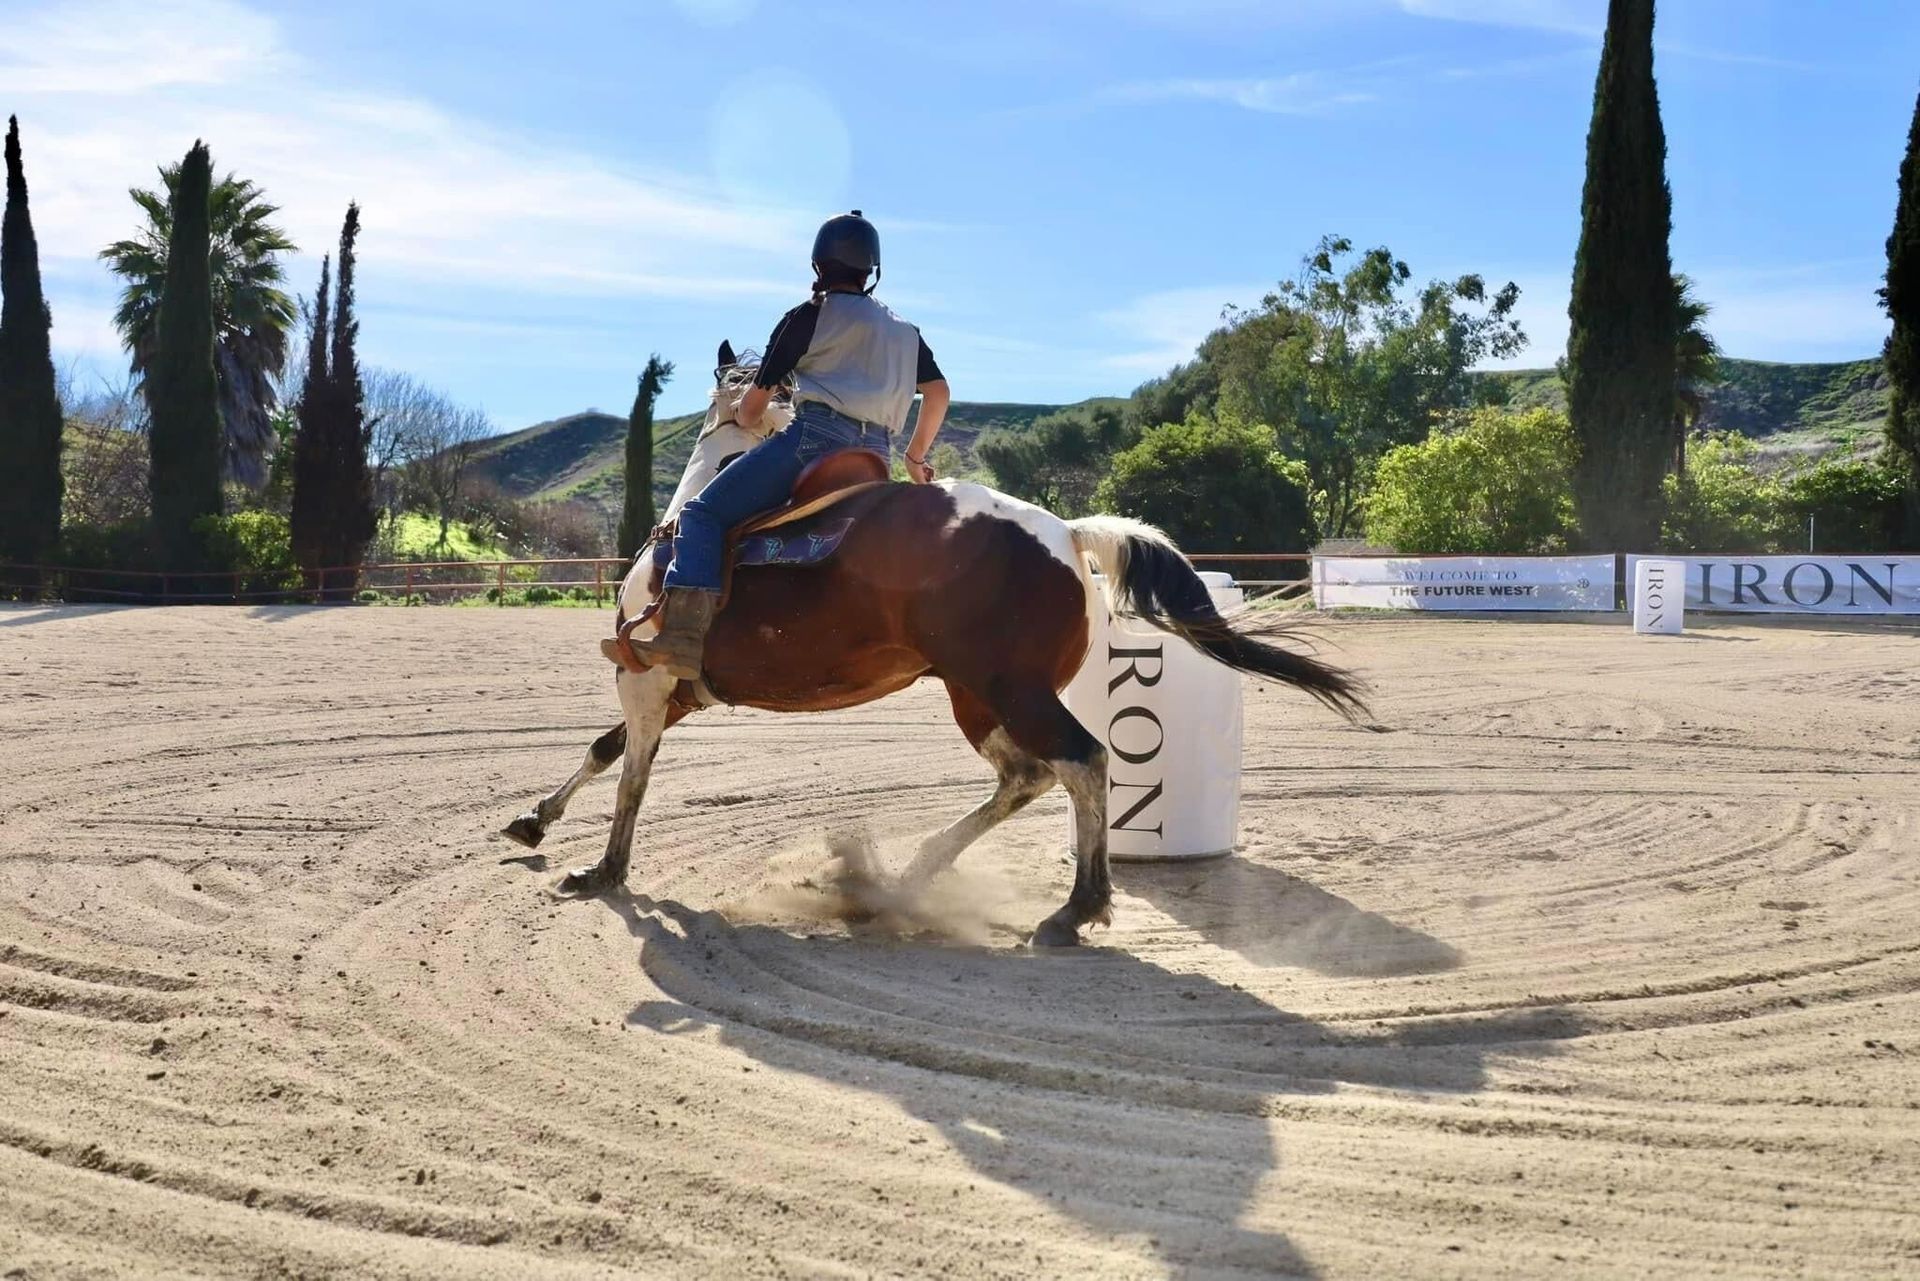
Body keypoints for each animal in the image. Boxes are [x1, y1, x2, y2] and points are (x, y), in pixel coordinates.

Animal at [505, 343, 1367, 946]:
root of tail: (1068, 530)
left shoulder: (648, 684)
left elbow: (631, 778)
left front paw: (603, 870)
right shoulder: (680, 690)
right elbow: (605, 750)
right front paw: (534, 822)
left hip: (1011, 689)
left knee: (1082, 761)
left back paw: (1074, 909)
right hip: (975, 696)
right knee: (1027, 776)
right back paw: (911, 873)